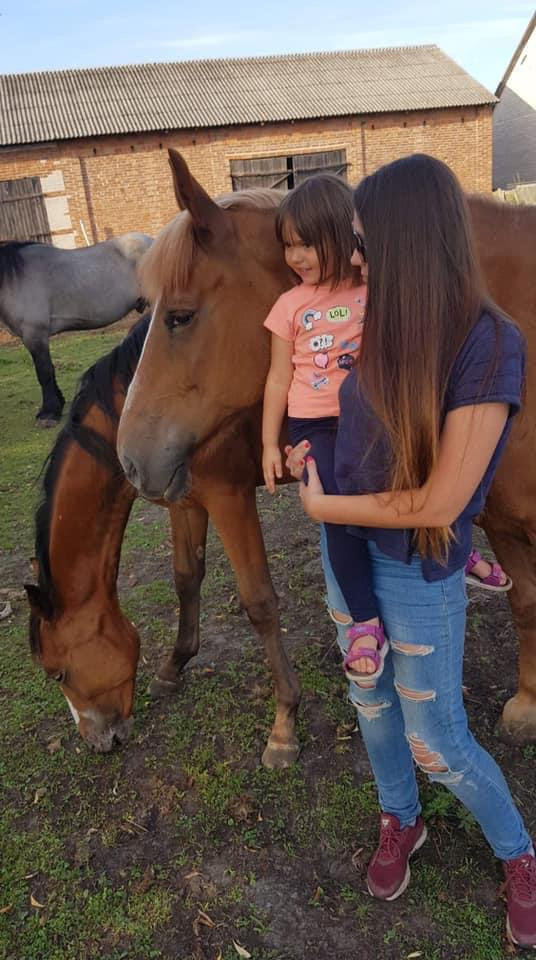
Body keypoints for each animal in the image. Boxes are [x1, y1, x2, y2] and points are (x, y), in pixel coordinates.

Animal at [0, 233, 152, 425]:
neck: (13, 278)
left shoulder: (34, 334)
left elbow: (44, 372)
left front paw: (48, 413)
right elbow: (49, 369)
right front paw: (58, 403)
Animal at [25, 314, 300, 766]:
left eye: (58, 672)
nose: (97, 742)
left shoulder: (229, 498)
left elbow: (259, 603)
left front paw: (284, 724)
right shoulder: (185, 501)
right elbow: (186, 578)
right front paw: (174, 666)